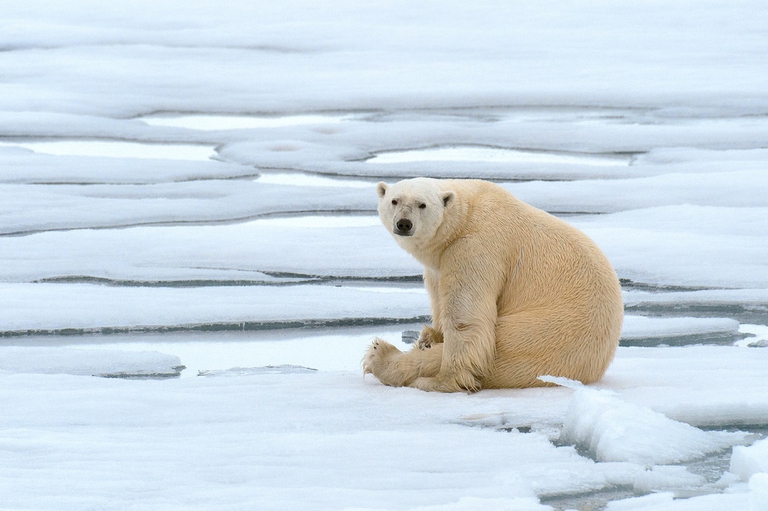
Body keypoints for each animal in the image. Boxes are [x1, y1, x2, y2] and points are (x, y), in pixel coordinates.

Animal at [363, 178, 623, 392]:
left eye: (422, 204)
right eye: (394, 200)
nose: (404, 223)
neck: (464, 216)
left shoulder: (476, 247)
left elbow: (466, 321)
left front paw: (444, 379)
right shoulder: (440, 263)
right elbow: (438, 297)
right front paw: (430, 335)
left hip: (543, 333)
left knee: (491, 346)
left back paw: (383, 357)